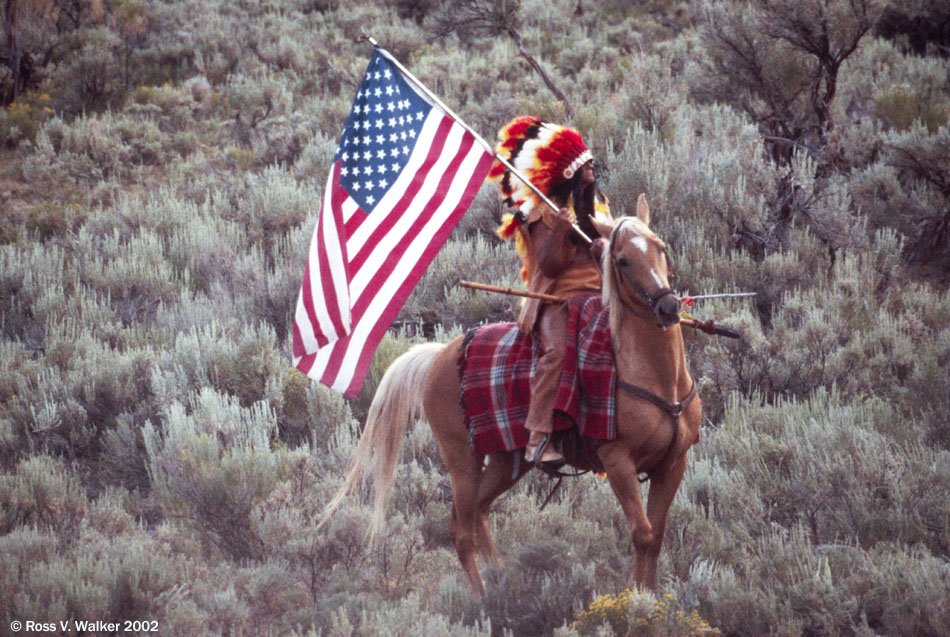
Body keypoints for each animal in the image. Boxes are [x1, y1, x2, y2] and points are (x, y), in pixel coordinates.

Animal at [324, 195, 704, 596]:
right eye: (623, 260)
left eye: (660, 248)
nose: (668, 307)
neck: (655, 376)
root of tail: (440, 355)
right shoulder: (617, 460)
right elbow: (642, 533)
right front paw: (636, 598)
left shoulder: (672, 464)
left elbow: (655, 537)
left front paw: (650, 596)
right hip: (461, 459)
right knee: (460, 529)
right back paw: (483, 599)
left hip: (509, 460)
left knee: (478, 511)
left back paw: (501, 578)